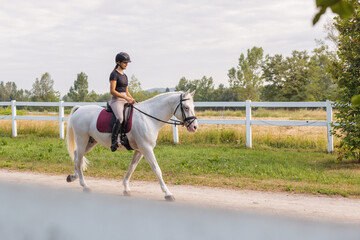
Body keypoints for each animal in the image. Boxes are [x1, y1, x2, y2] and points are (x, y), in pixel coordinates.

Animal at [66, 89, 198, 200]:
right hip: (82, 139)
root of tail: (80, 109)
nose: (194, 127)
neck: (148, 118)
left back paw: (73, 177)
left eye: (192, 107)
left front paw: (126, 188)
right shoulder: (146, 148)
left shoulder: (140, 150)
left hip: (91, 142)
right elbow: (157, 169)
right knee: (78, 159)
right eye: (186, 108)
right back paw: (84, 185)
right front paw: (168, 194)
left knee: (77, 156)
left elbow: (131, 167)